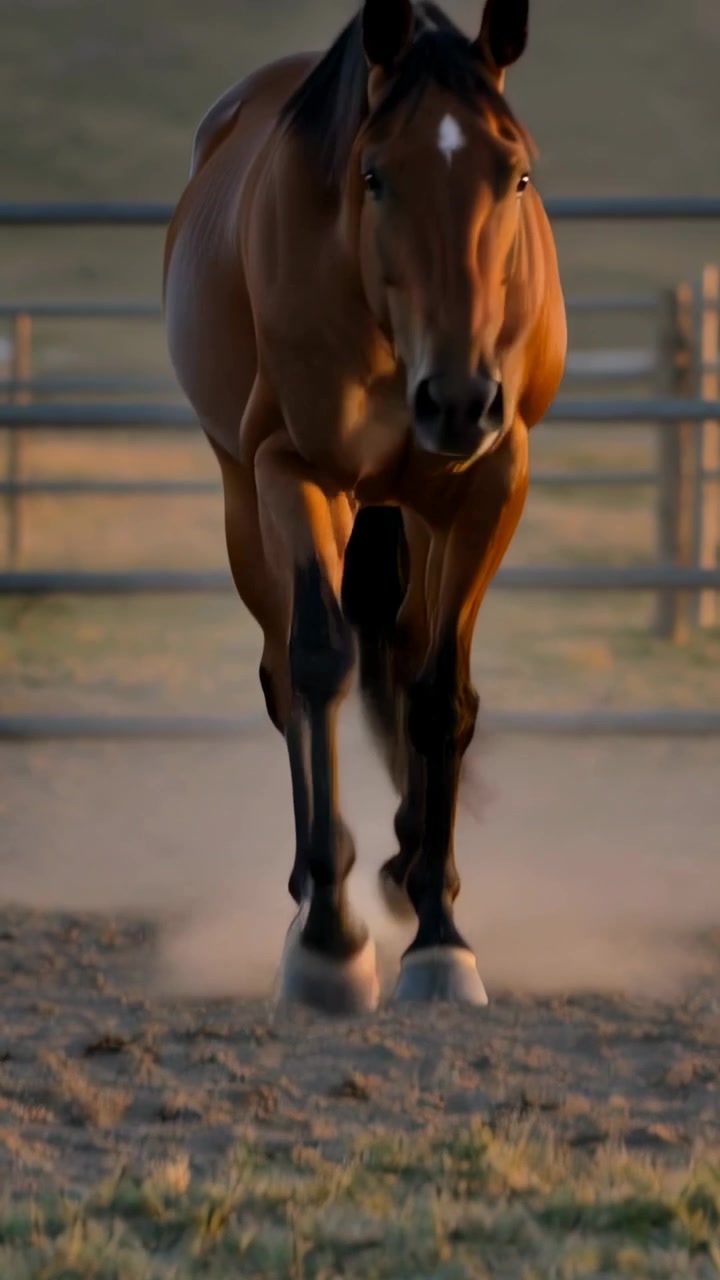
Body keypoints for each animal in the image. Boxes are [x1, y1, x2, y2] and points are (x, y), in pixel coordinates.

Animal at [163, 0, 566, 1015]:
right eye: (375, 176)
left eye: (517, 173)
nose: (458, 400)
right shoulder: (293, 469)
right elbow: (319, 665)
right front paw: (330, 942)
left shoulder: (491, 483)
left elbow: (438, 694)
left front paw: (440, 935)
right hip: (250, 500)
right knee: (286, 672)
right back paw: (319, 888)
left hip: (419, 508)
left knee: (413, 649)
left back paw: (412, 867)